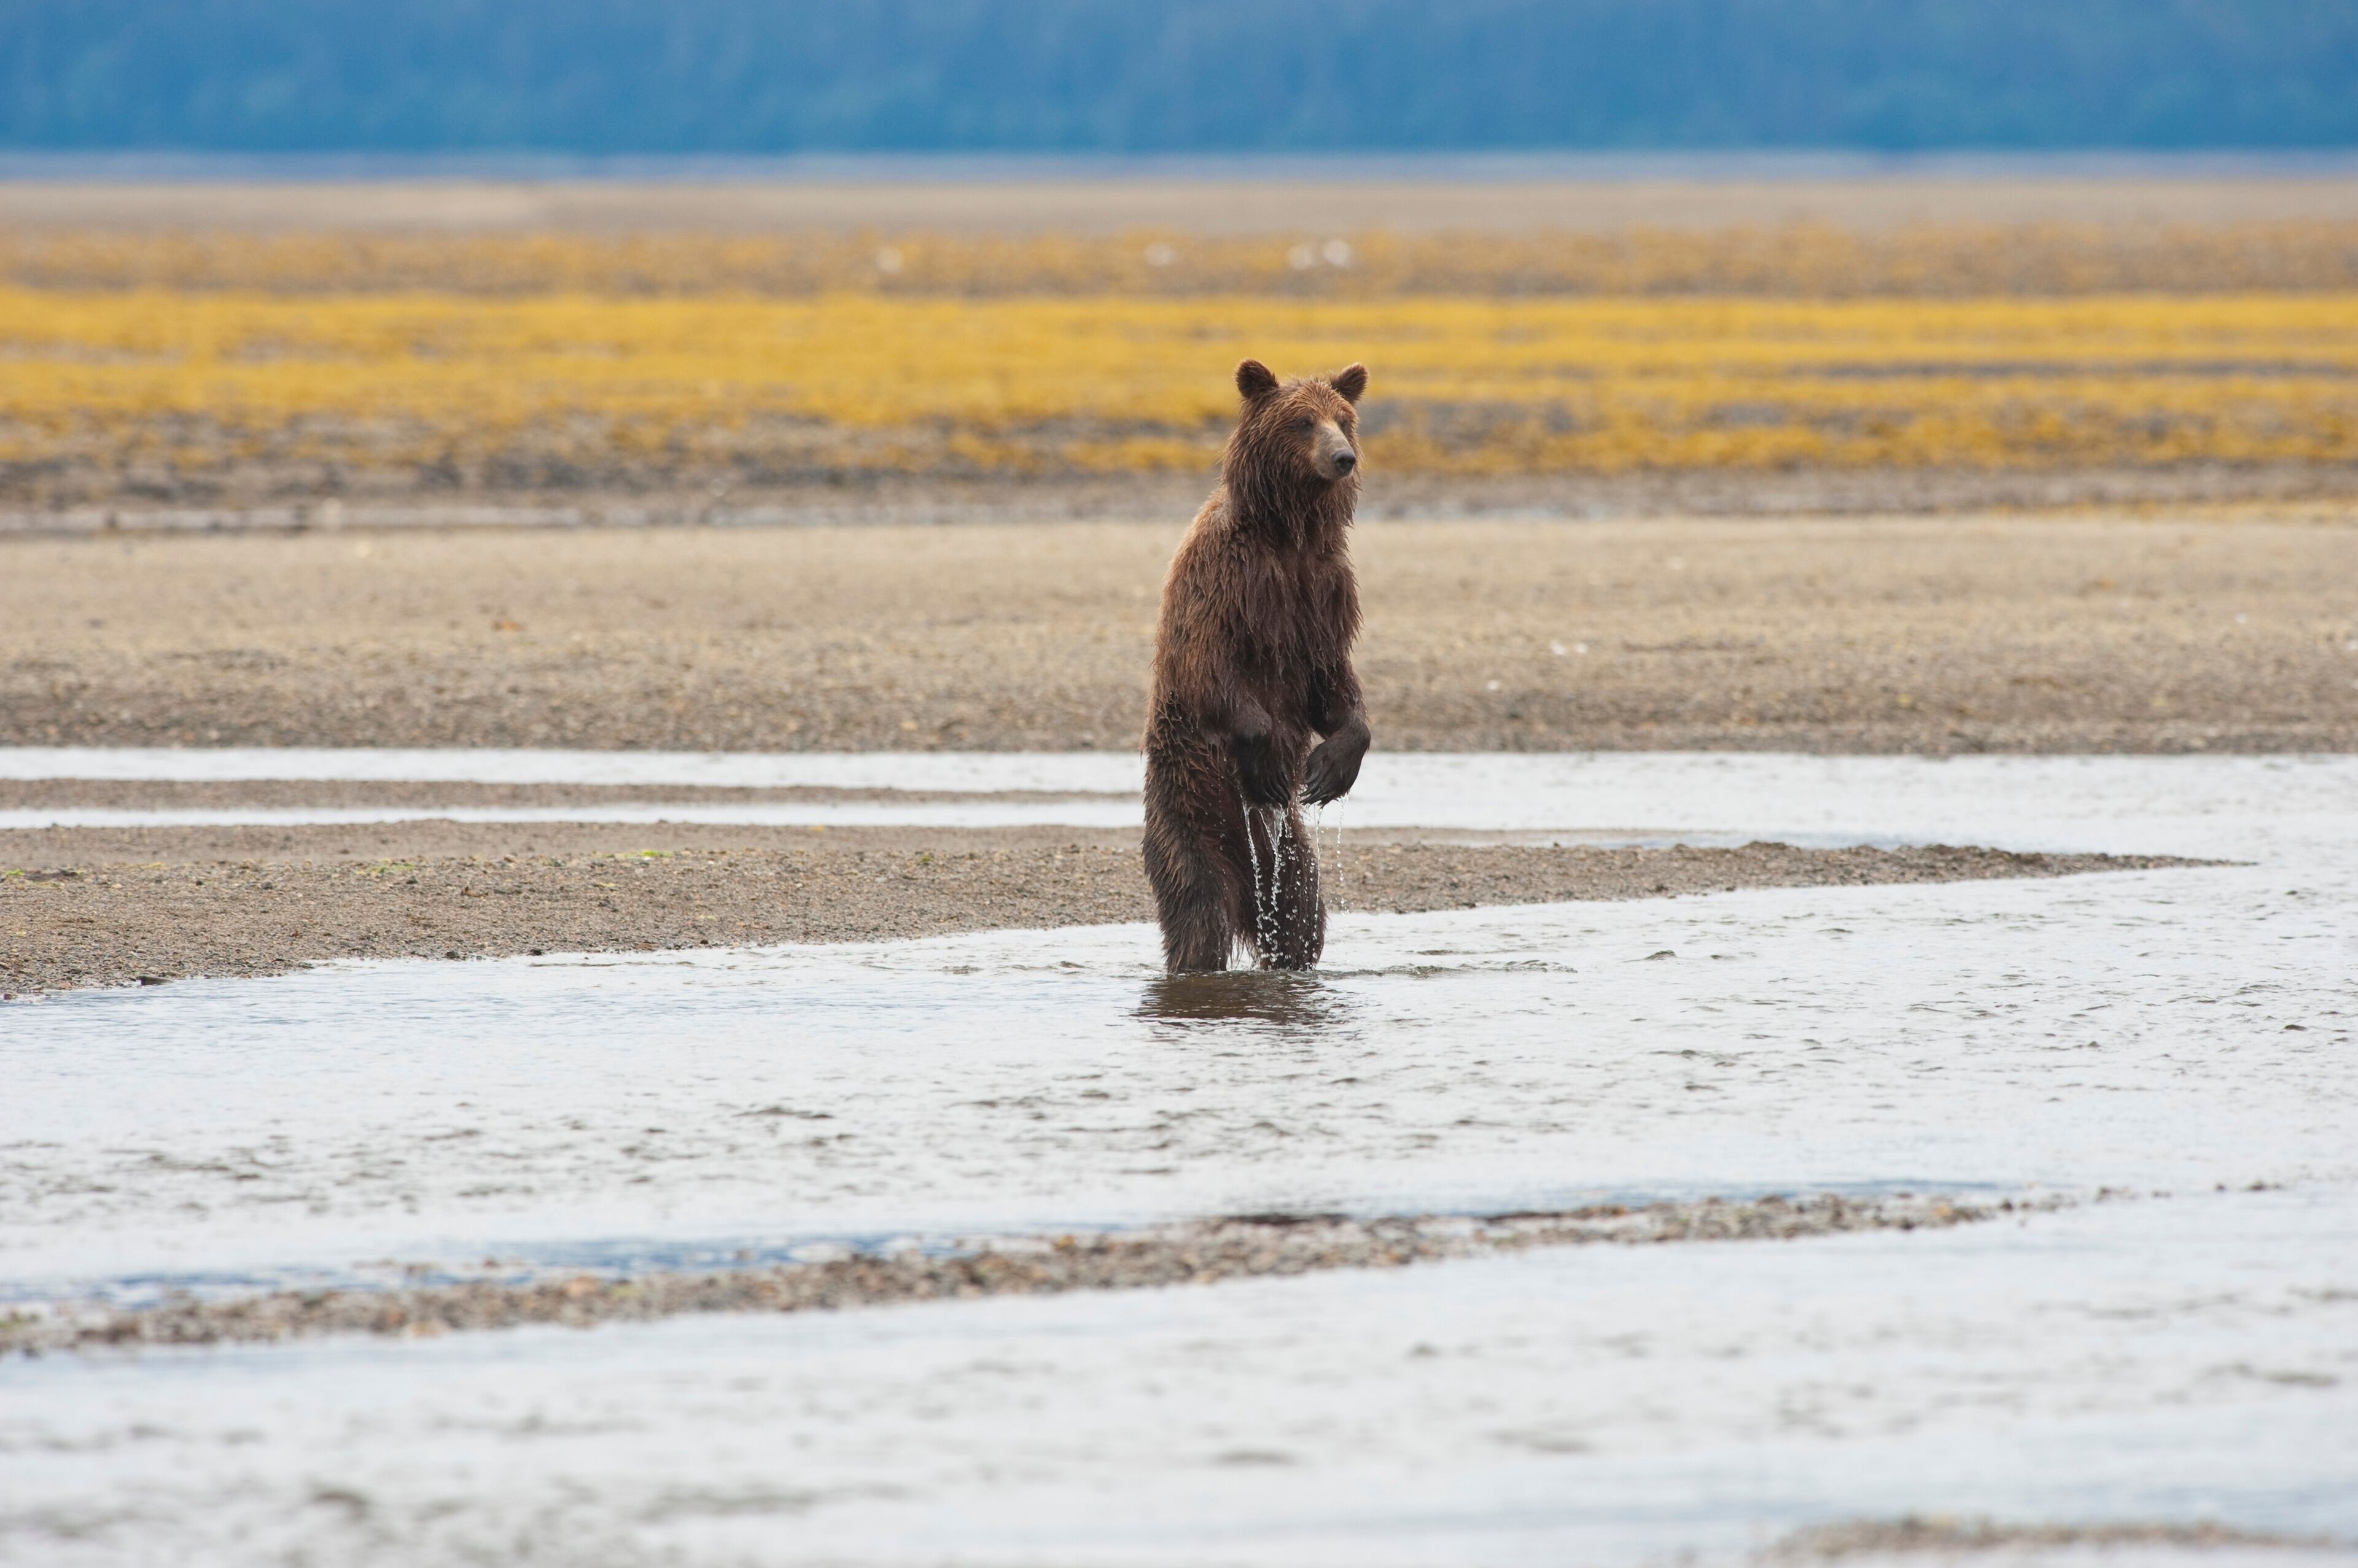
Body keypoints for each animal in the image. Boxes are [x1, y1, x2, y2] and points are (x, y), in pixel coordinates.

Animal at [1141, 358, 1372, 973]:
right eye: (1303, 421)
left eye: (1344, 419)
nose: (1344, 458)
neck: (1287, 532)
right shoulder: (1224, 578)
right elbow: (1209, 667)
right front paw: (1267, 759)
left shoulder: (1323, 591)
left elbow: (1333, 682)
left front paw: (1330, 768)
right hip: (1188, 808)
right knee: (1199, 910)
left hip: (1288, 850)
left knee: (1300, 916)